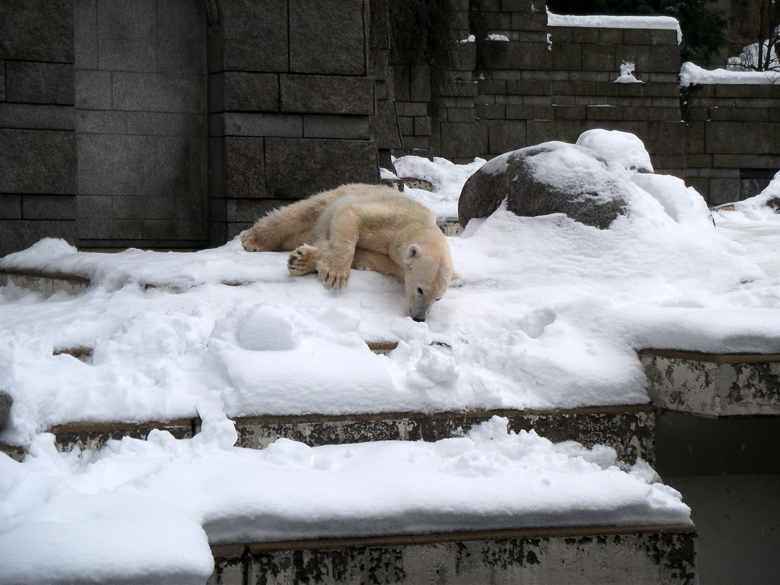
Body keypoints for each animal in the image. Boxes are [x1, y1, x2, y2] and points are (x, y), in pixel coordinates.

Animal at [239, 184, 458, 322]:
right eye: (420, 290)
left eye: (438, 298)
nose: (420, 318)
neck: (415, 224)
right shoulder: (389, 222)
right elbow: (349, 215)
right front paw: (335, 273)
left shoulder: (396, 260)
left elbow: (368, 257)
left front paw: (303, 260)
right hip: (338, 195)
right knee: (300, 212)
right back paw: (254, 239)